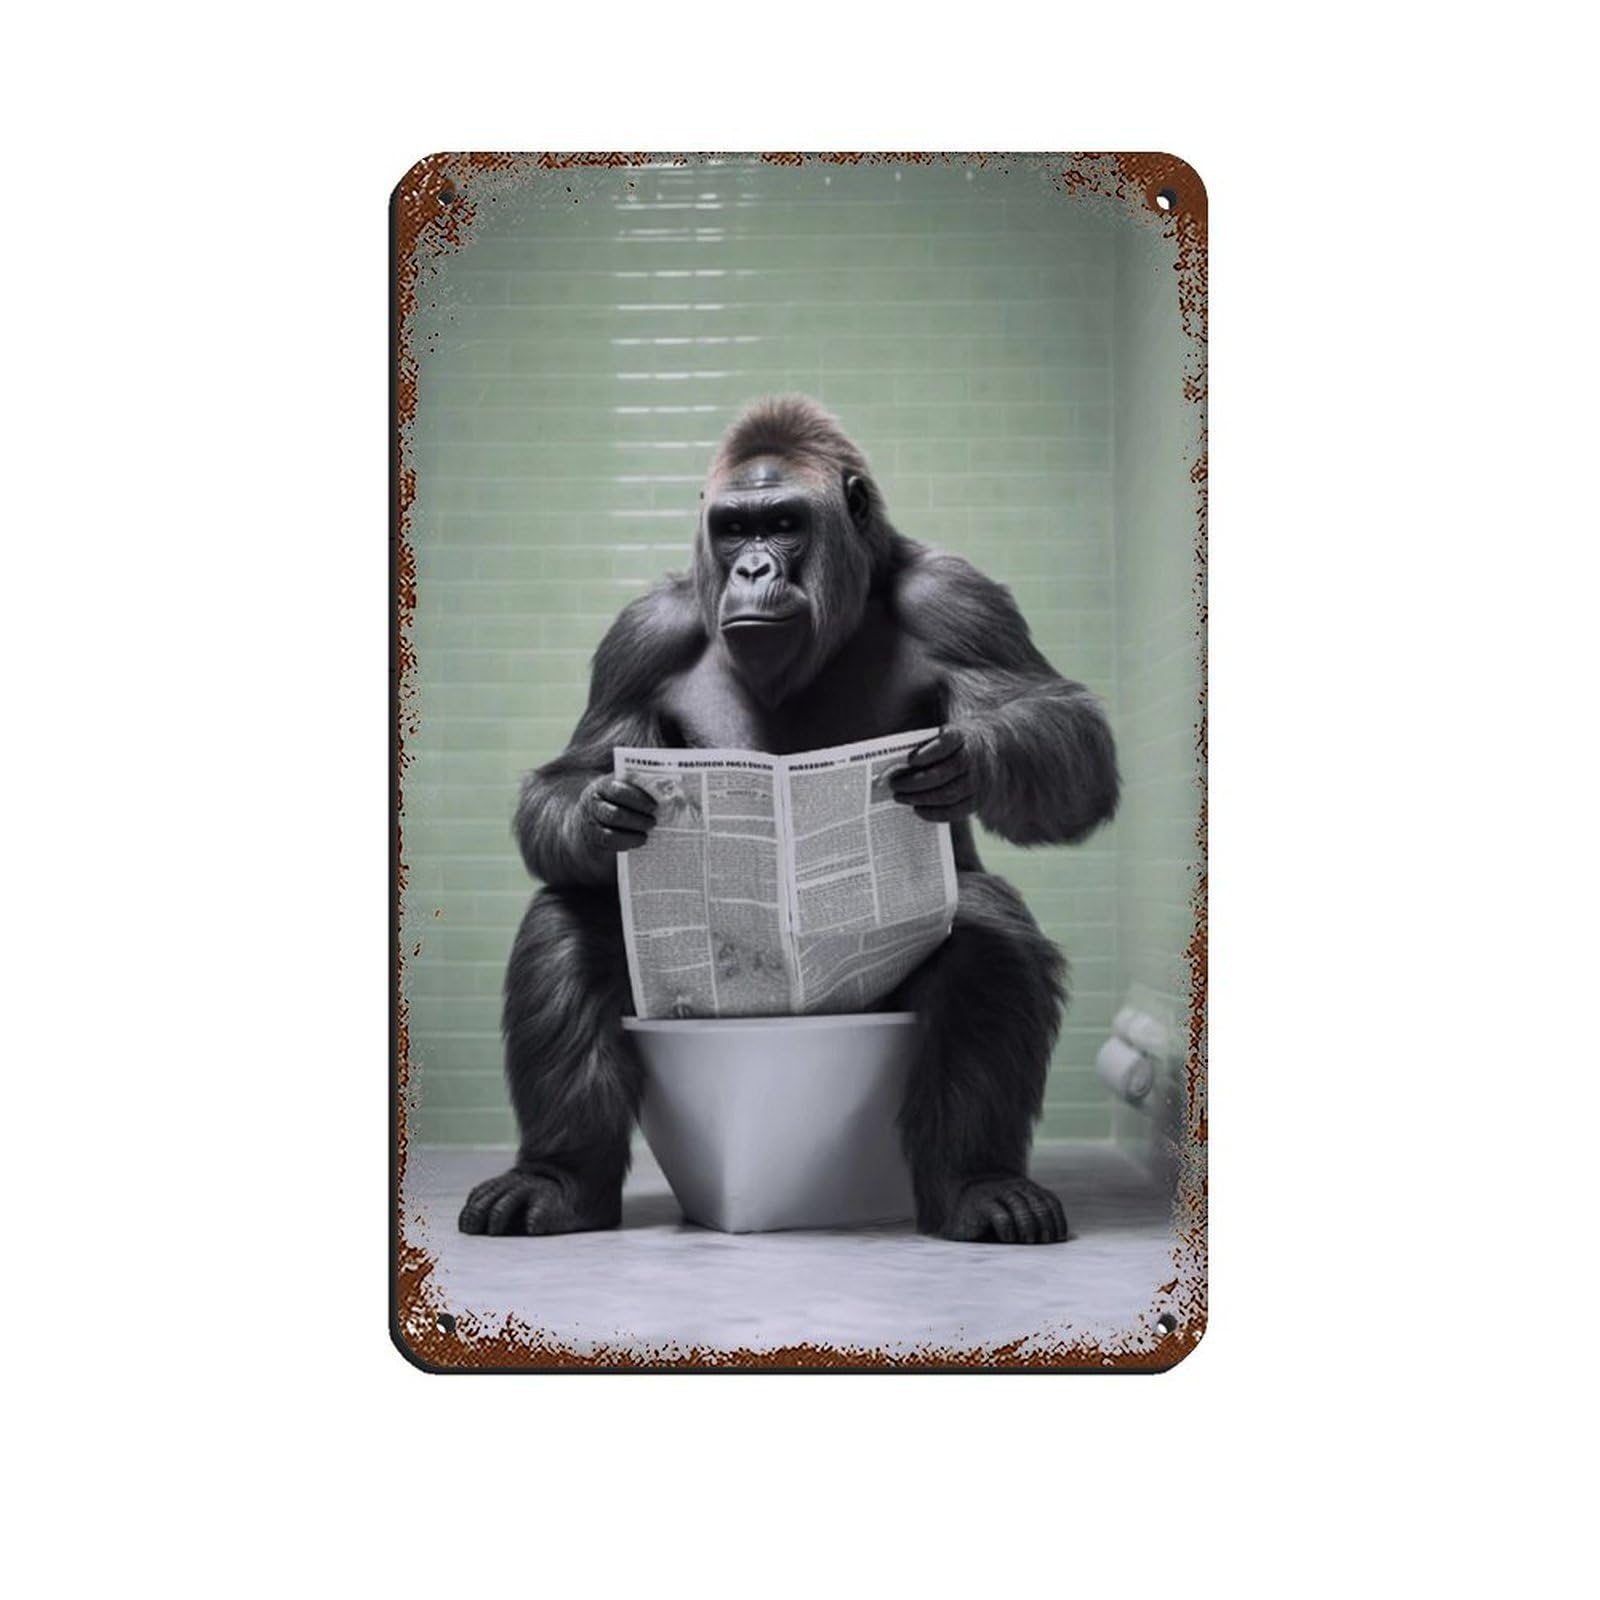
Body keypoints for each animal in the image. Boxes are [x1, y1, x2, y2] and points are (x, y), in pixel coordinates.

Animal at [458, 396, 1119, 1244]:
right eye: (735, 529)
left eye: (783, 523)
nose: (753, 569)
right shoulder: (642, 634)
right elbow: (577, 769)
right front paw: (598, 814)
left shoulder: (959, 598)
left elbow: (1056, 722)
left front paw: (969, 761)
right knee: (566, 919)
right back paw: (557, 1177)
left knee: (988, 941)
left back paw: (981, 1183)